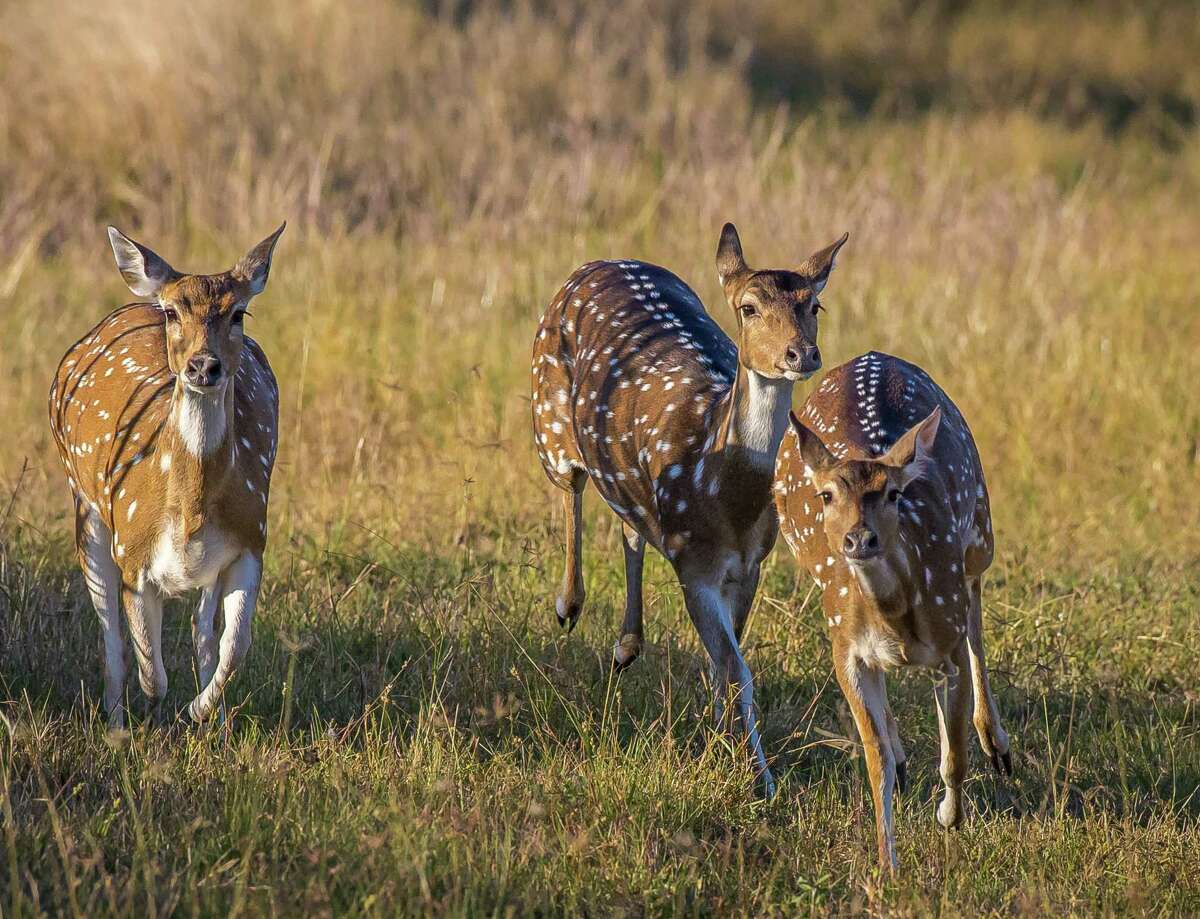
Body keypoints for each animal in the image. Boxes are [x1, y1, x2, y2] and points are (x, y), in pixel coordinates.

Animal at [49, 223, 285, 729]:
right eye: (173, 312)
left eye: (238, 312)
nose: (203, 365)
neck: (188, 510)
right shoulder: (133, 551)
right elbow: (150, 670)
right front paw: (156, 714)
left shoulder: (252, 538)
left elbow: (234, 645)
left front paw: (199, 710)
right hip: (86, 506)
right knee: (109, 629)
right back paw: (115, 721)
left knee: (202, 630)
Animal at [530, 225, 849, 796]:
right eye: (748, 307)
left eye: (813, 304)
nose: (802, 354)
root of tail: (598, 262)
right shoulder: (693, 563)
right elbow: (736, 670)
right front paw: (759, 780)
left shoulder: (749, 565)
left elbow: (728, 661)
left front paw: (721, 737)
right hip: (546, 417)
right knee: (572, 486)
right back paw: (568, 604)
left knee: (630, 525)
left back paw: (626, 646)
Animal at [777, 352, 1012, 873]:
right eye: (826, 495)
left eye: (893, 494)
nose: (858, 539)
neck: (897, 616)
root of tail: (870, 356)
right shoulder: (843, 646)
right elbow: (875, 760)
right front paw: (887, 864)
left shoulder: (947, 643)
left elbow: (956, 754)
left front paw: (949, 817)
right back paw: (907, 761)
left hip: (981, 529)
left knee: (976, 610)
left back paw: (998, 745)